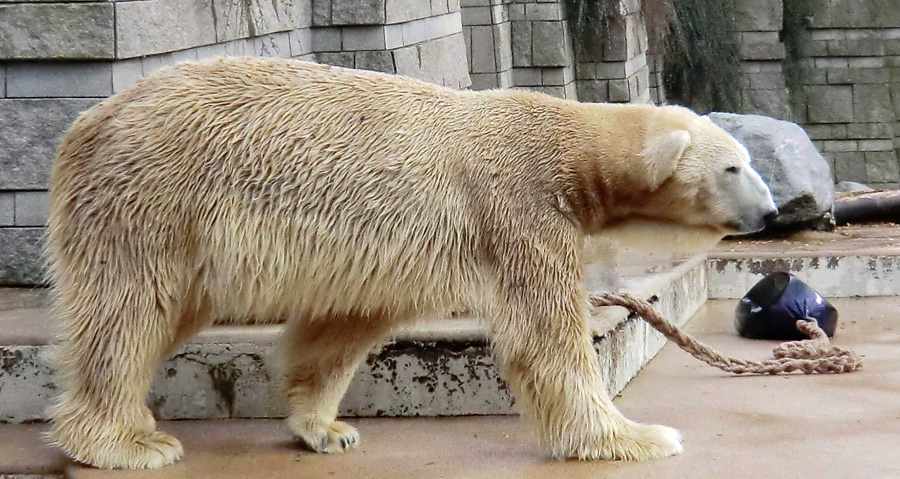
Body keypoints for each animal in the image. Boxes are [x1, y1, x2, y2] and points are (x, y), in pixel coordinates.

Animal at [45, 56, 776, 468]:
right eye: (734, 166)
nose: (769, 212)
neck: (570, 149)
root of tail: (86, 124)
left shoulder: (386, 250)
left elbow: (343, 326)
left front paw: (325, 427)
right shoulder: (518, 207)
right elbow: (547, 340)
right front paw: (639, 437)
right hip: (155, 199)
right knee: (128, 312)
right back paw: (128, 443)